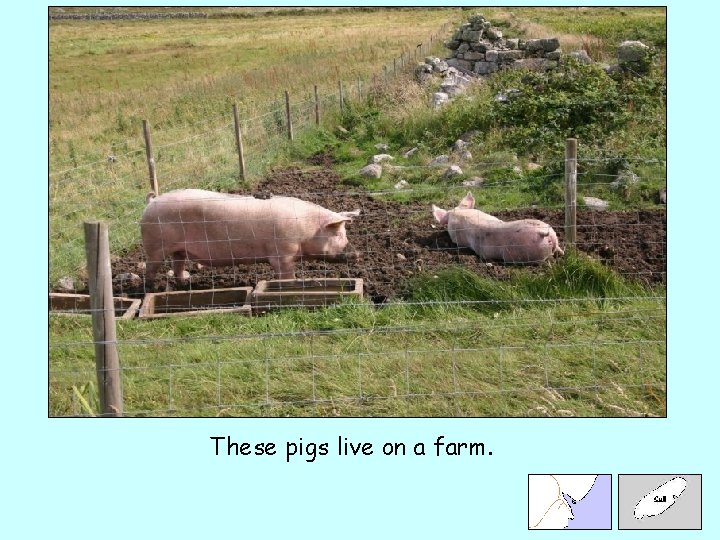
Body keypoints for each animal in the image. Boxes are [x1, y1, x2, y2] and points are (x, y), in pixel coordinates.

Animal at [141, 189, 360, 286]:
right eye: (338, 233)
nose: (357, 254)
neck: (306, 228)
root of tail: (151, 202)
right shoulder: (283, 253)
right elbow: (286, 274)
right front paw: (290, 286)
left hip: (178, 248)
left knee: (177, 264)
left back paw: (186, 283)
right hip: (155, 246)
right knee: (151, 268)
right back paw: (154, 288)